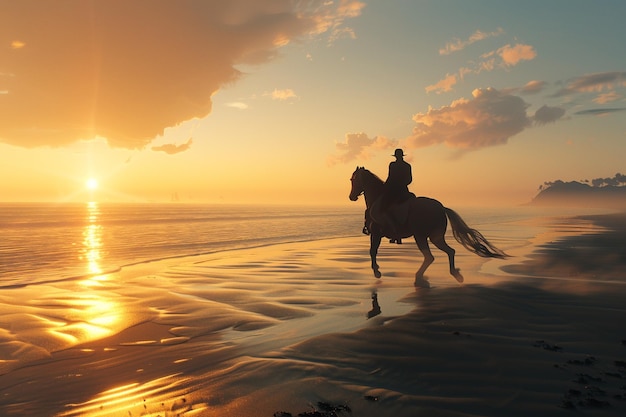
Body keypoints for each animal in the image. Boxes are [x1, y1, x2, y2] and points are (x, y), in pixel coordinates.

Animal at [348, 167, 504, 286]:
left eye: (353, 180)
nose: (351, 197)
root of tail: (441, 208)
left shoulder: (376, 233)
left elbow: (372, 251)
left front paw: (377, 271)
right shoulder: (376, 234)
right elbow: (373, 251)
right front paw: (377, 270)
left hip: (421, 236)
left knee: (430, 256)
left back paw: (420, 277)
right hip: (435, 237)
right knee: (449, 252)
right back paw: (455, 274)